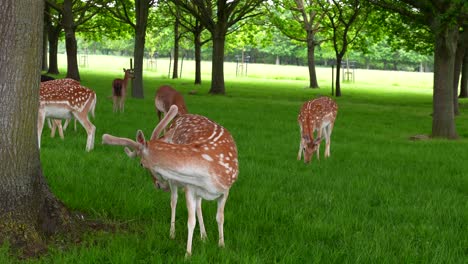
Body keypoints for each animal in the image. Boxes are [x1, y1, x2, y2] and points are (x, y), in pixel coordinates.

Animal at [103, 105, 239, 256]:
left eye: (141, 164)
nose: (158, 185)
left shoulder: (226, 189)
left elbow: (220, 217)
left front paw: (222, 245)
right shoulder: (189, 188)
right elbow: (191, 221)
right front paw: (188, 254)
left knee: (198, 204)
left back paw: (204, 236)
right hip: (175, 181)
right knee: (174, 200)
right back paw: (172, 233)